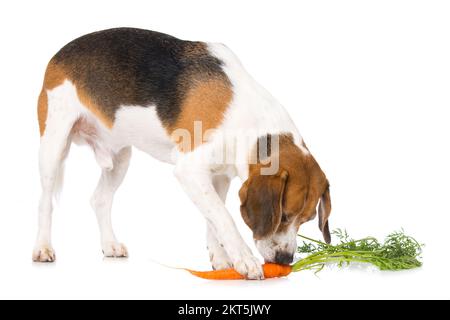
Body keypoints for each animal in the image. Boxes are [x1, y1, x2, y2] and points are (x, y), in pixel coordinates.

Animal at [34, 28, 330, 278]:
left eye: (307, 220)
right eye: (284, 216)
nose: (285, 260)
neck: (246, 117)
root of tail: (58, 53)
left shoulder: (219, 177)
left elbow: (214, 218)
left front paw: (221, 259)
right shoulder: (190, 170)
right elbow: (224, 218)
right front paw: (244, 259)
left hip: (120, 158)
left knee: (100, 200)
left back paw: (110, 244)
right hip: (54, 145)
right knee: (45, 202)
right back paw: (43, 248)